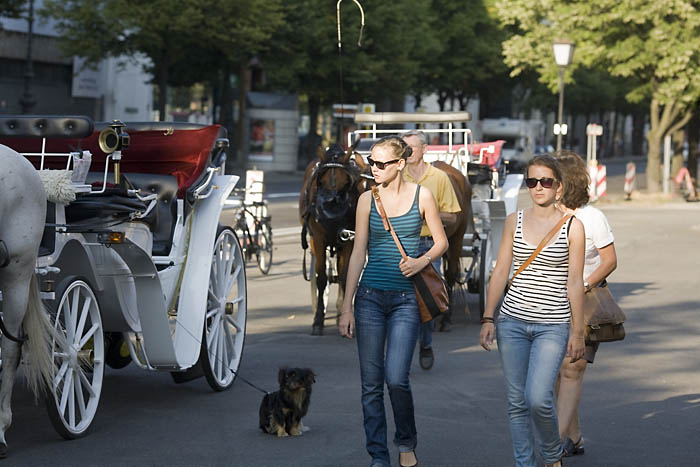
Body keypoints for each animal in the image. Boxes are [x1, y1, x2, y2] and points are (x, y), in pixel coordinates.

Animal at [296, 144, 360, 334]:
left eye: (347, 182)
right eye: (320, 182)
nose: (331, 215)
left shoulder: (349, 239)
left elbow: (346, 276)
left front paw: (345, 316)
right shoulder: (318, 239)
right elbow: (321, 278)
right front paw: (318, 320)